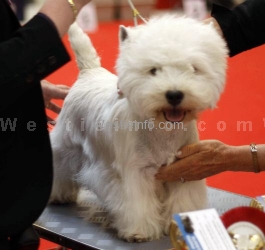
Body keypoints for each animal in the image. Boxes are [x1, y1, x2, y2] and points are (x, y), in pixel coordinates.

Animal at [50, 15, 227, 242]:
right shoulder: (135, 173)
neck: (163, 130)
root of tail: (89, 72)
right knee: (61, 166)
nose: (174, 94)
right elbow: (137, 204)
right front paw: (140, 231)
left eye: (194, 68)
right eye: (153, 70)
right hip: (66, 144)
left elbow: (183, 199)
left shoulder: (184, 169)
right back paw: (59, 194)